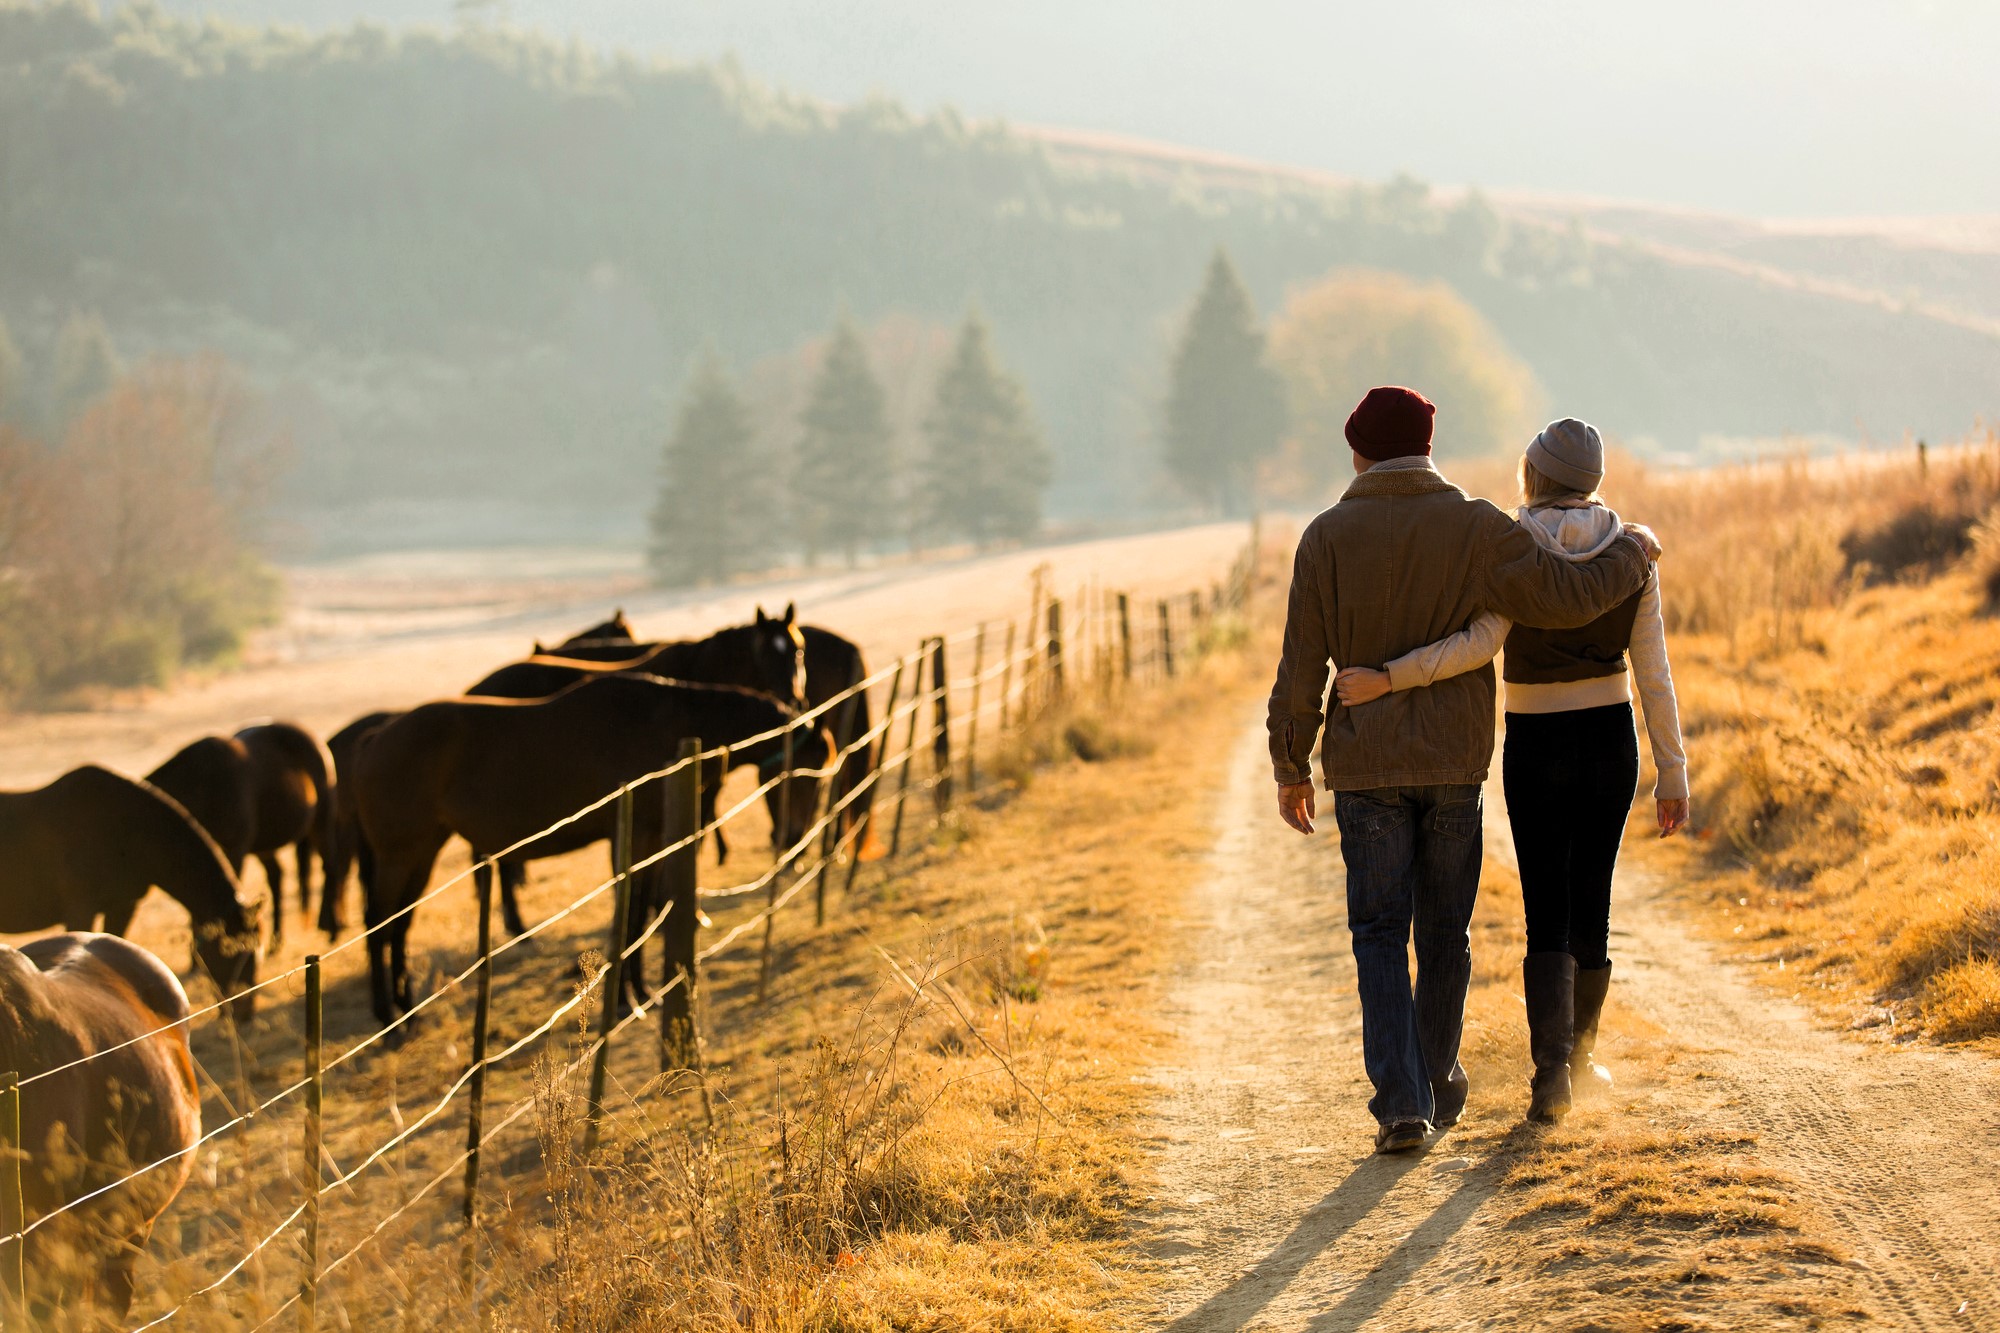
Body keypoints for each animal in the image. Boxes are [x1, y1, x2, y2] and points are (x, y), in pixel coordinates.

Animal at [146, 716, 332, 944]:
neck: (202, 788)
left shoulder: (234, 850)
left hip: (321, 824)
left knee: (330, 866)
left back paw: (332, 928)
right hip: (265, 846)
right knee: (276, 876)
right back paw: (275, 942)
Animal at [354, 676, 828, 1024]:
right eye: (808, 776)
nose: (794, 838)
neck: (663, 725)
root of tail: (375, 738)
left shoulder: (652, 841)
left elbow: (639, 916)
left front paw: (642, 993)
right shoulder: (630, 840)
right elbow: (630, 914)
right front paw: (625, 1000)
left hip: (422, 852)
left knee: (399, 926)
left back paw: (407, 1011)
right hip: (400, 853)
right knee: (378, 924)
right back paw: (386, 1017)